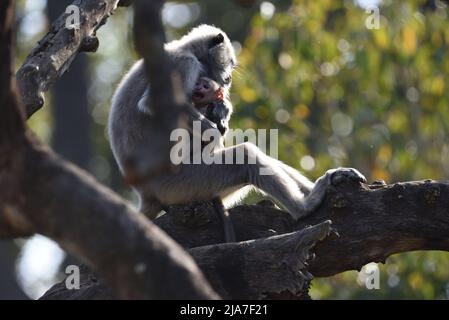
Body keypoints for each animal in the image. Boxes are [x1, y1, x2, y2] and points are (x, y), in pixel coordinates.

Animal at [107, 25, 364, 238]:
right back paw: (304, 208)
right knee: (246, 156)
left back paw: (331, 180)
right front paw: (213, 127)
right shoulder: (183, 64)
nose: (228, 78)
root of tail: (145, 193)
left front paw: (222, 110)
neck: (184, 48)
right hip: (181, 186)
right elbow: (153, 104)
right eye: (229, 63)